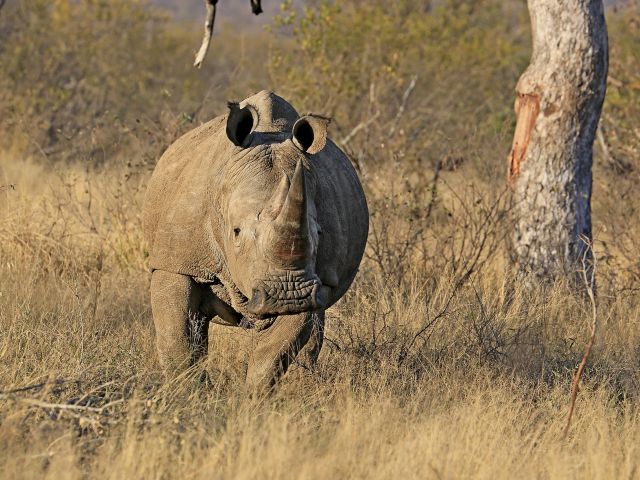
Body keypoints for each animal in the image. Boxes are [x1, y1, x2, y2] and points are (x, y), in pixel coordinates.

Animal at [142, 91, 368, 394]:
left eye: (319, 233)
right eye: (236, 232)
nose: (286, 294)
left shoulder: (309, 283)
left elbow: (273, 352)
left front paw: (254, 399)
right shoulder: (177, 261)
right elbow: (177, 338)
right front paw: (190, 395)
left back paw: (305, 383)